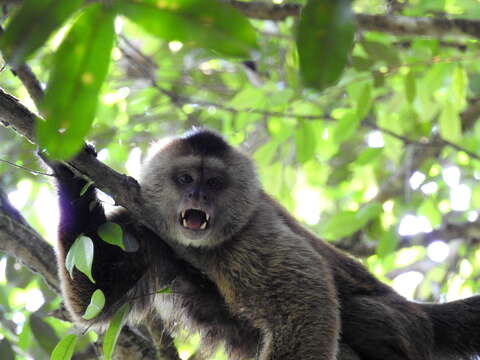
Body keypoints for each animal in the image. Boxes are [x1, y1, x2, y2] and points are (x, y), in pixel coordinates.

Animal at [46, 128, 480, 358]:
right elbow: (92, 298)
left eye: (214, 183)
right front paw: (70, 174)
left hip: (403, 325)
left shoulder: (253, 234)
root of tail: (420, 314)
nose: (197, 197)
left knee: (362, 313)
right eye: (185, 179)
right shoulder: (140, 224)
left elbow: (307, 308)